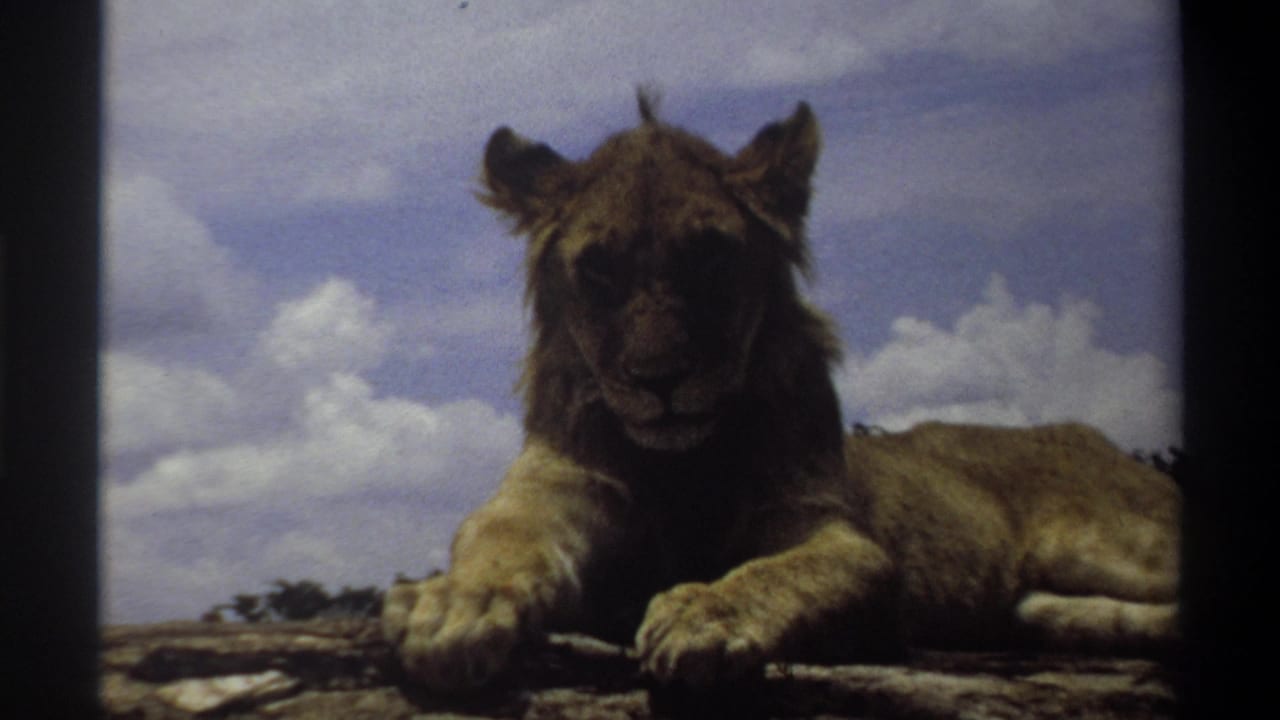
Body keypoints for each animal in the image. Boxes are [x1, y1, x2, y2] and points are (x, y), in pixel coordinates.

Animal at [382, 93, 1181, 691]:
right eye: (600, 270)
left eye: (711, 258)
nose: (659, 379)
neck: (679, 464)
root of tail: (1089, 434)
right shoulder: (552, 491)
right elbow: (498, 540)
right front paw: (450, 602)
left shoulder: (835, 532)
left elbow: (790, 569)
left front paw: (707, 613)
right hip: (1040, 601)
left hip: (1113, 540)